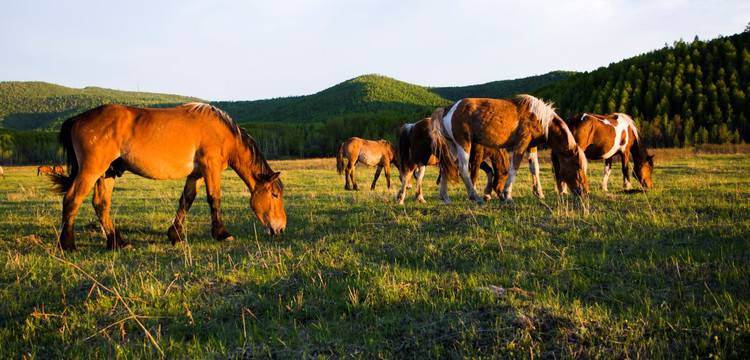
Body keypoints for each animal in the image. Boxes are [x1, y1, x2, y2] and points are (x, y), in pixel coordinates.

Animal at [51, 102, 288, 252]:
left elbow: (186, 201)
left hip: (106, 173)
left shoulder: (196, 174)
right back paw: (68, 245)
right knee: (72, 200)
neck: (222, 133)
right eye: (274, 195)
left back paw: (118, 242)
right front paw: (221, 233)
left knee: (100, 205)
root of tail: (77, 118)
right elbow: (214, 198)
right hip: (90, 171)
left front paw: (175, 235)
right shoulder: (210, 168)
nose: (280, 228)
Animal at [432, 95, 592, 202]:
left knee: (446, 168)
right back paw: (474, 196)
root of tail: (447, 109)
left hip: (452, 147)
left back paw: (445, 197)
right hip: (464, 144)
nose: (584, 191)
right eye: (578, 166)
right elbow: (514, 168)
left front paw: (538, 193)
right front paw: (508, 194)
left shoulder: (531, 146)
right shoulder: (521, 143)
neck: (538, 116)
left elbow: (535, 169)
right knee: (464, 168)